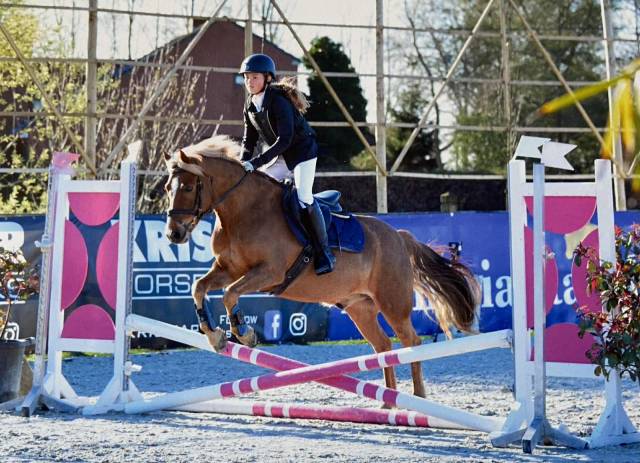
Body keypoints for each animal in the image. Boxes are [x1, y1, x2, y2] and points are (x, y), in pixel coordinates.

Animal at [163, 135, 480, 398]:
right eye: (168, 187)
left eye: (188, 187)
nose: (173, 234)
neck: (242, 212)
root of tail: (399, 236)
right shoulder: (229, 269)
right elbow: (199, 287)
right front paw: (214, 335)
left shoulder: (269, 272)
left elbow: (230, 294)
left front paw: (244, 333)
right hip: (360, 307)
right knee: (383, 347)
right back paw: (389, 404)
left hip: (393, 303)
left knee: (411, 342)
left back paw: (416, 397)